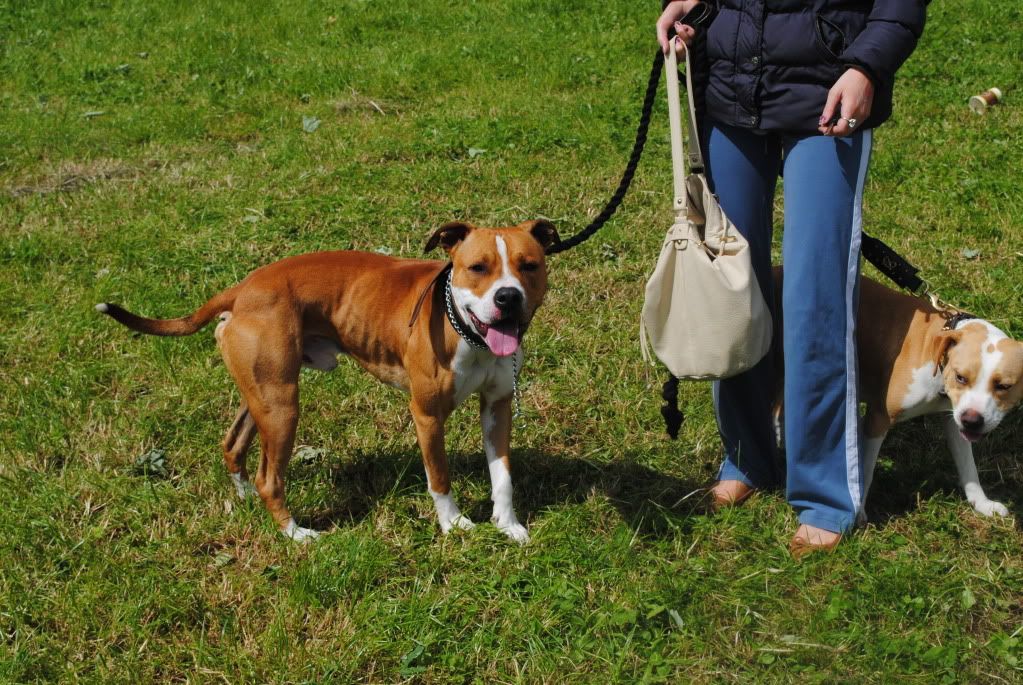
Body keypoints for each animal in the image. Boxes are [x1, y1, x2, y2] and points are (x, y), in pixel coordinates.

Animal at [97, 222, 560, 543]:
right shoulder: (427, 415)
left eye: (529, 267)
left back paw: (245, 497)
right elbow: (439, 476)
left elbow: (502, 474)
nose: (508, 297)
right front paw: (456, 524)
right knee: (271, 478)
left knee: (233, 443)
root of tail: (243, 288)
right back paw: (295, 534)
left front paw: (508, 524)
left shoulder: (497, 408)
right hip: (282, 407)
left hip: (263, 394)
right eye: (477, 268)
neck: (465, 330)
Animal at [777, 267, 1018, 521]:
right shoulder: (878, 419)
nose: (973, 420)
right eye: (961, 377)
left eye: (1004, 386)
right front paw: (859, 513)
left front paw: (982, 503)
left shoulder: (954, 419)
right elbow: (866, 469)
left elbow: (968, 466)